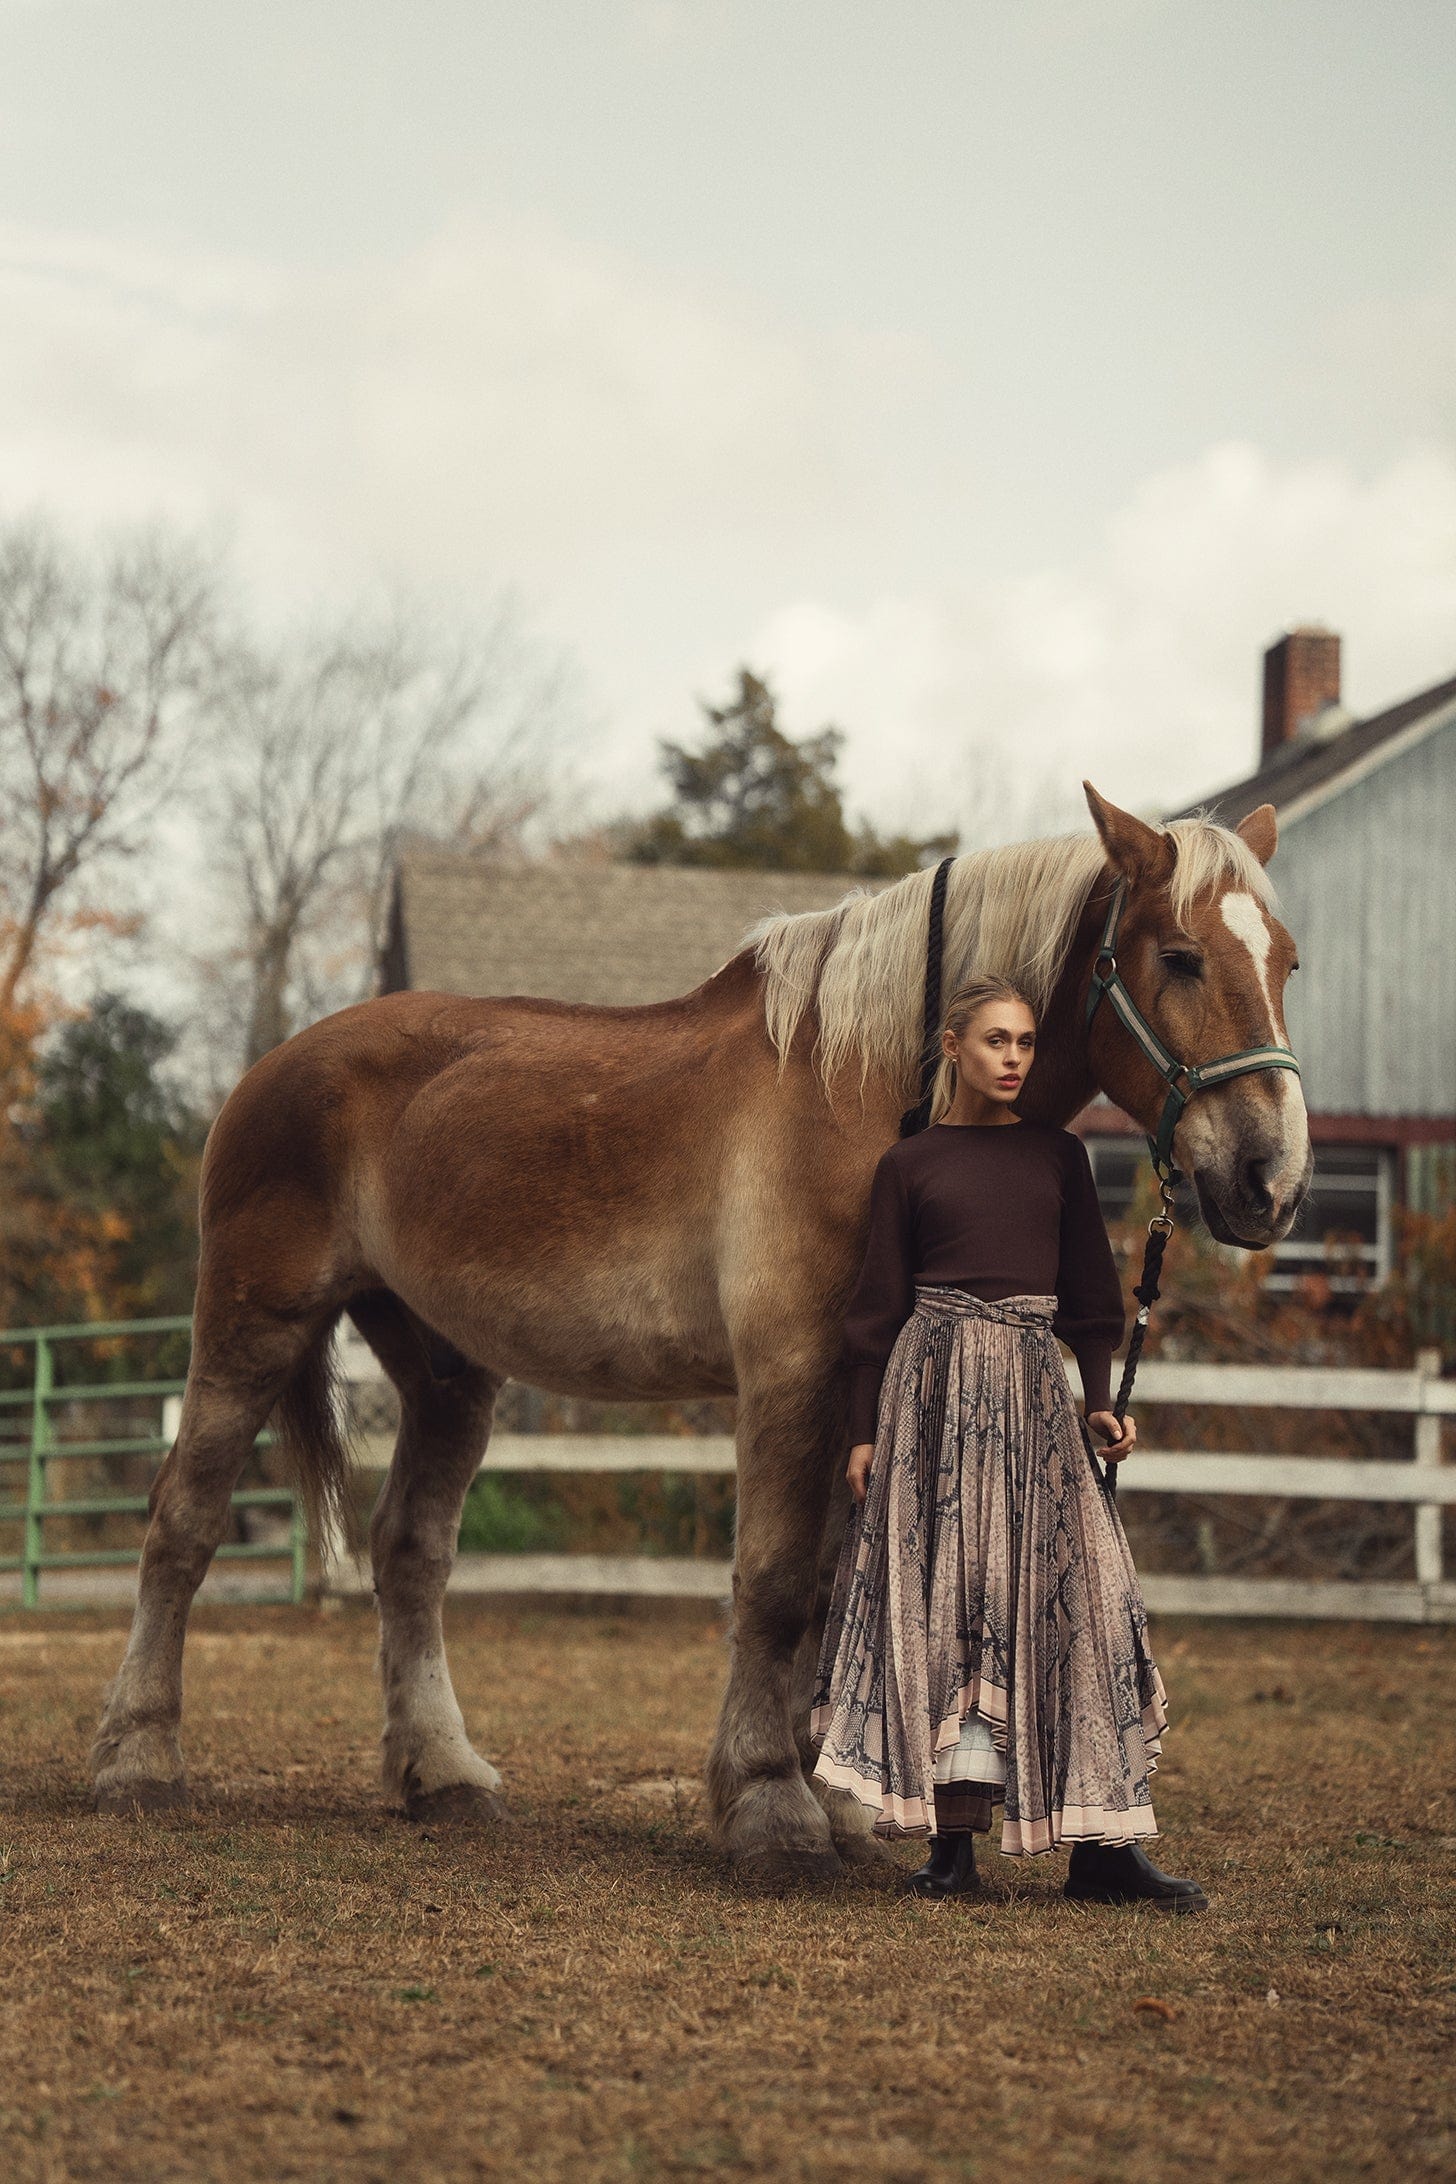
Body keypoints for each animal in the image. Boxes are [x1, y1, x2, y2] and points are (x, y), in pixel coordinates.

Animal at [96, 786, 1318, 1878]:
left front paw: (829, 1804)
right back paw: (138, 1760)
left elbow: (831, 1585)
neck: (871, 1092)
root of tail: (272, 1067)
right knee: (181, 1523)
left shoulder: (859, 1390)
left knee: (410, 1553)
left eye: (1287, 964)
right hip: (252, 1322)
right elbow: (773, 1584)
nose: (1270, 1177)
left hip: (446, 1368)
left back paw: (442, 1775)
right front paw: (771, 1809)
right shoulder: (793, 1376)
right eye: (1178, 957)